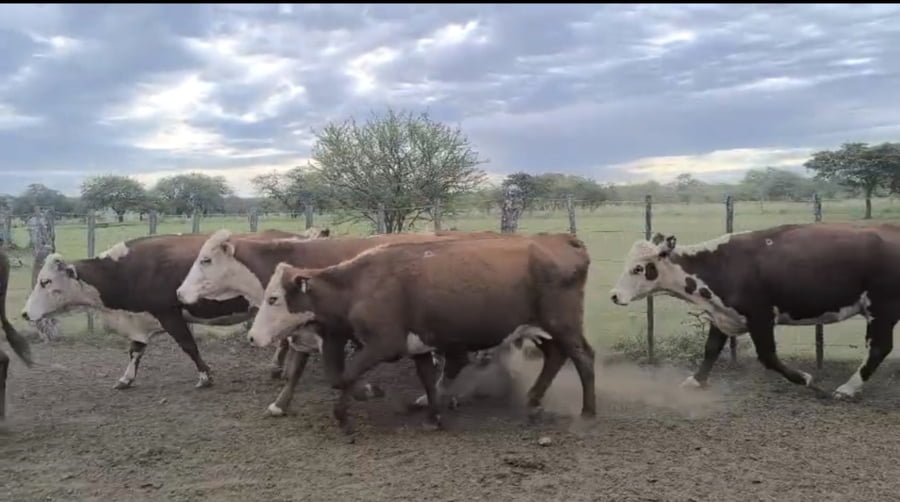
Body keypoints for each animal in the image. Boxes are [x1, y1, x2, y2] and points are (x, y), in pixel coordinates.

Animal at [19, 229, 316, 390]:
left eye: (45, 282)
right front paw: (125, 379)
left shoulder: (169, 314)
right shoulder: (141, 319)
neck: (128, 270)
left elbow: (189, 345)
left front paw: (205, 376)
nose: (24, 313)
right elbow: (135, 351)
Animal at [174, 228, 513, 416]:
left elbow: (339, 374)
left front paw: (368, 390)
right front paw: (280, 404)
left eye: (205, 260)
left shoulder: (330, 334)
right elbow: (297, 370)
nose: (179, 292)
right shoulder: (301, 334)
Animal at [247, 233, 595, 436]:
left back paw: (588, 413)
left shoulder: (382, 345)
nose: (252, 337)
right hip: (541, 329)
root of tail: (562, 240)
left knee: (583, 359)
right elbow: (427, 379)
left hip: (563, 325)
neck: (359, 286)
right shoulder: (419, 347)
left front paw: (349, 411)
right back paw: (533, 401)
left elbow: (345, 376)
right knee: (555, 357)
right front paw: (432, 415)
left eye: (274, 298)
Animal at [609, 222, 900, 400]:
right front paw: (695, 381)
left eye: (638, 268)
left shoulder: (761, 316)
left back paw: (848, 388)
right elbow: (711, 349)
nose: (615, 295)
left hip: (881, 309)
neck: (722, 264)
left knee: (879, 348)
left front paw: (805, 379)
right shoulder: (723, 315)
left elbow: (768, 356)